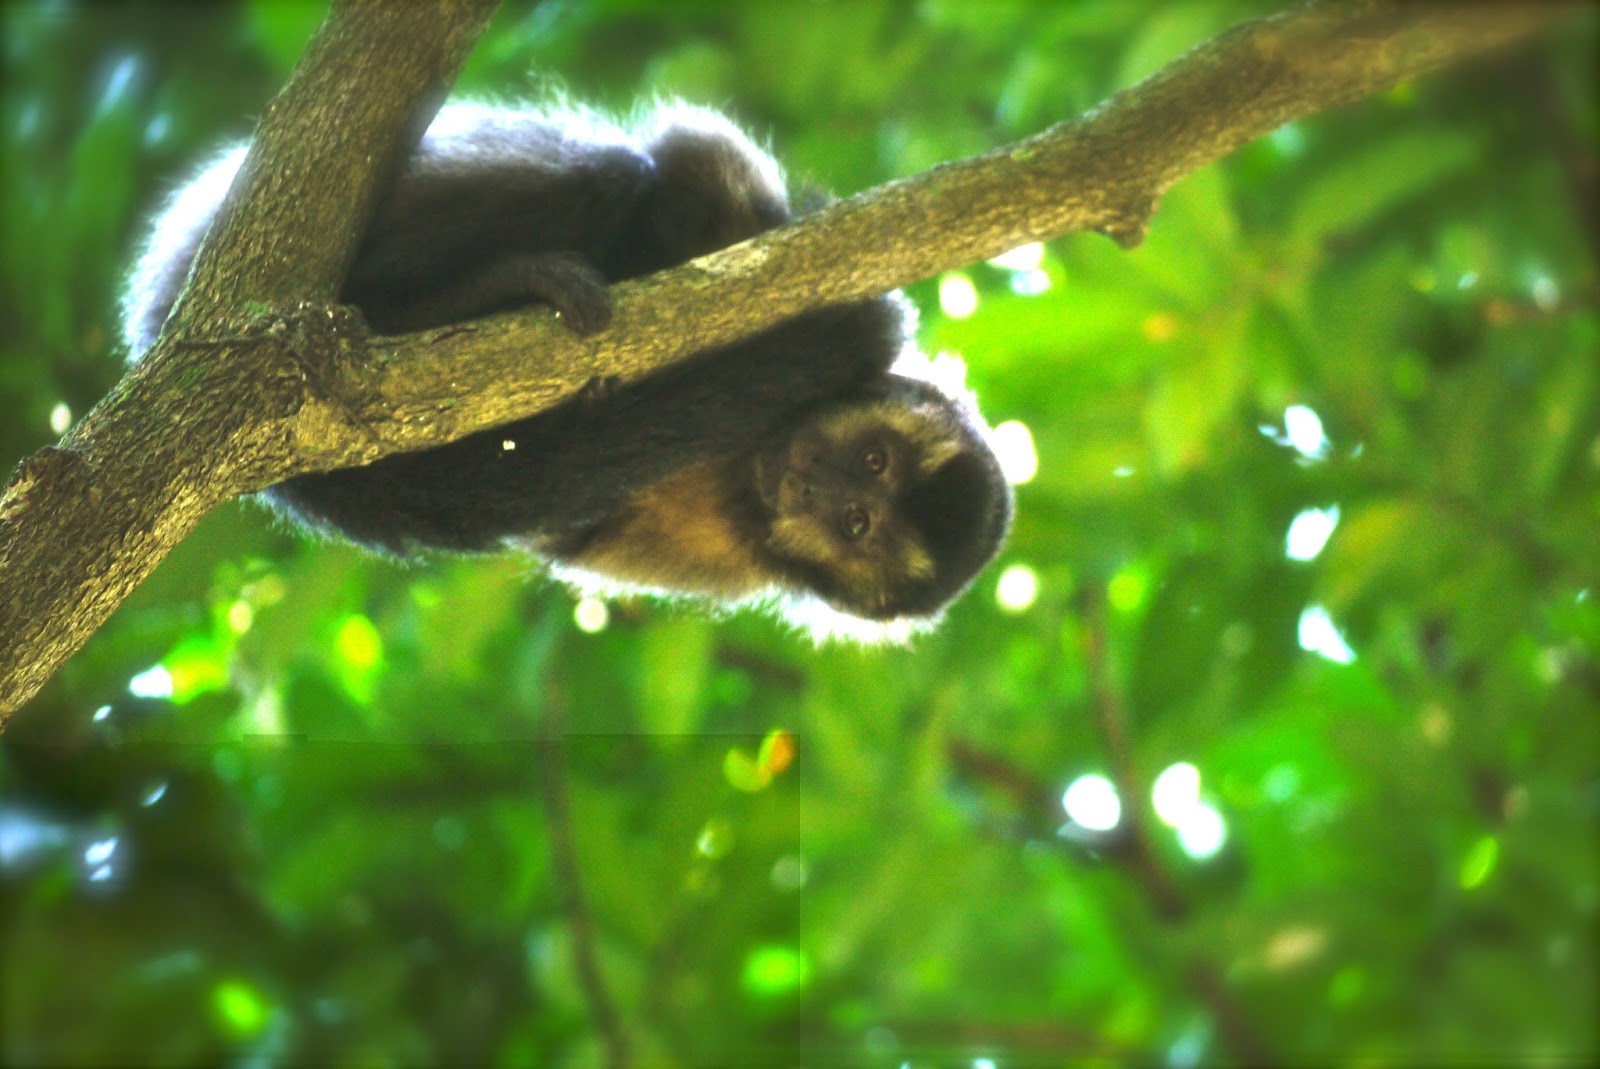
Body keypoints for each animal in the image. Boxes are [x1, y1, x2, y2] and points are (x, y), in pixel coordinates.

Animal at [122, 101, 1013, 638]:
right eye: (873, 459)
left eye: (854, 524)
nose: (813, 485)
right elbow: (694, 161)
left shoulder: (718, 558)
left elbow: (557, 504)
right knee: (604, 173)